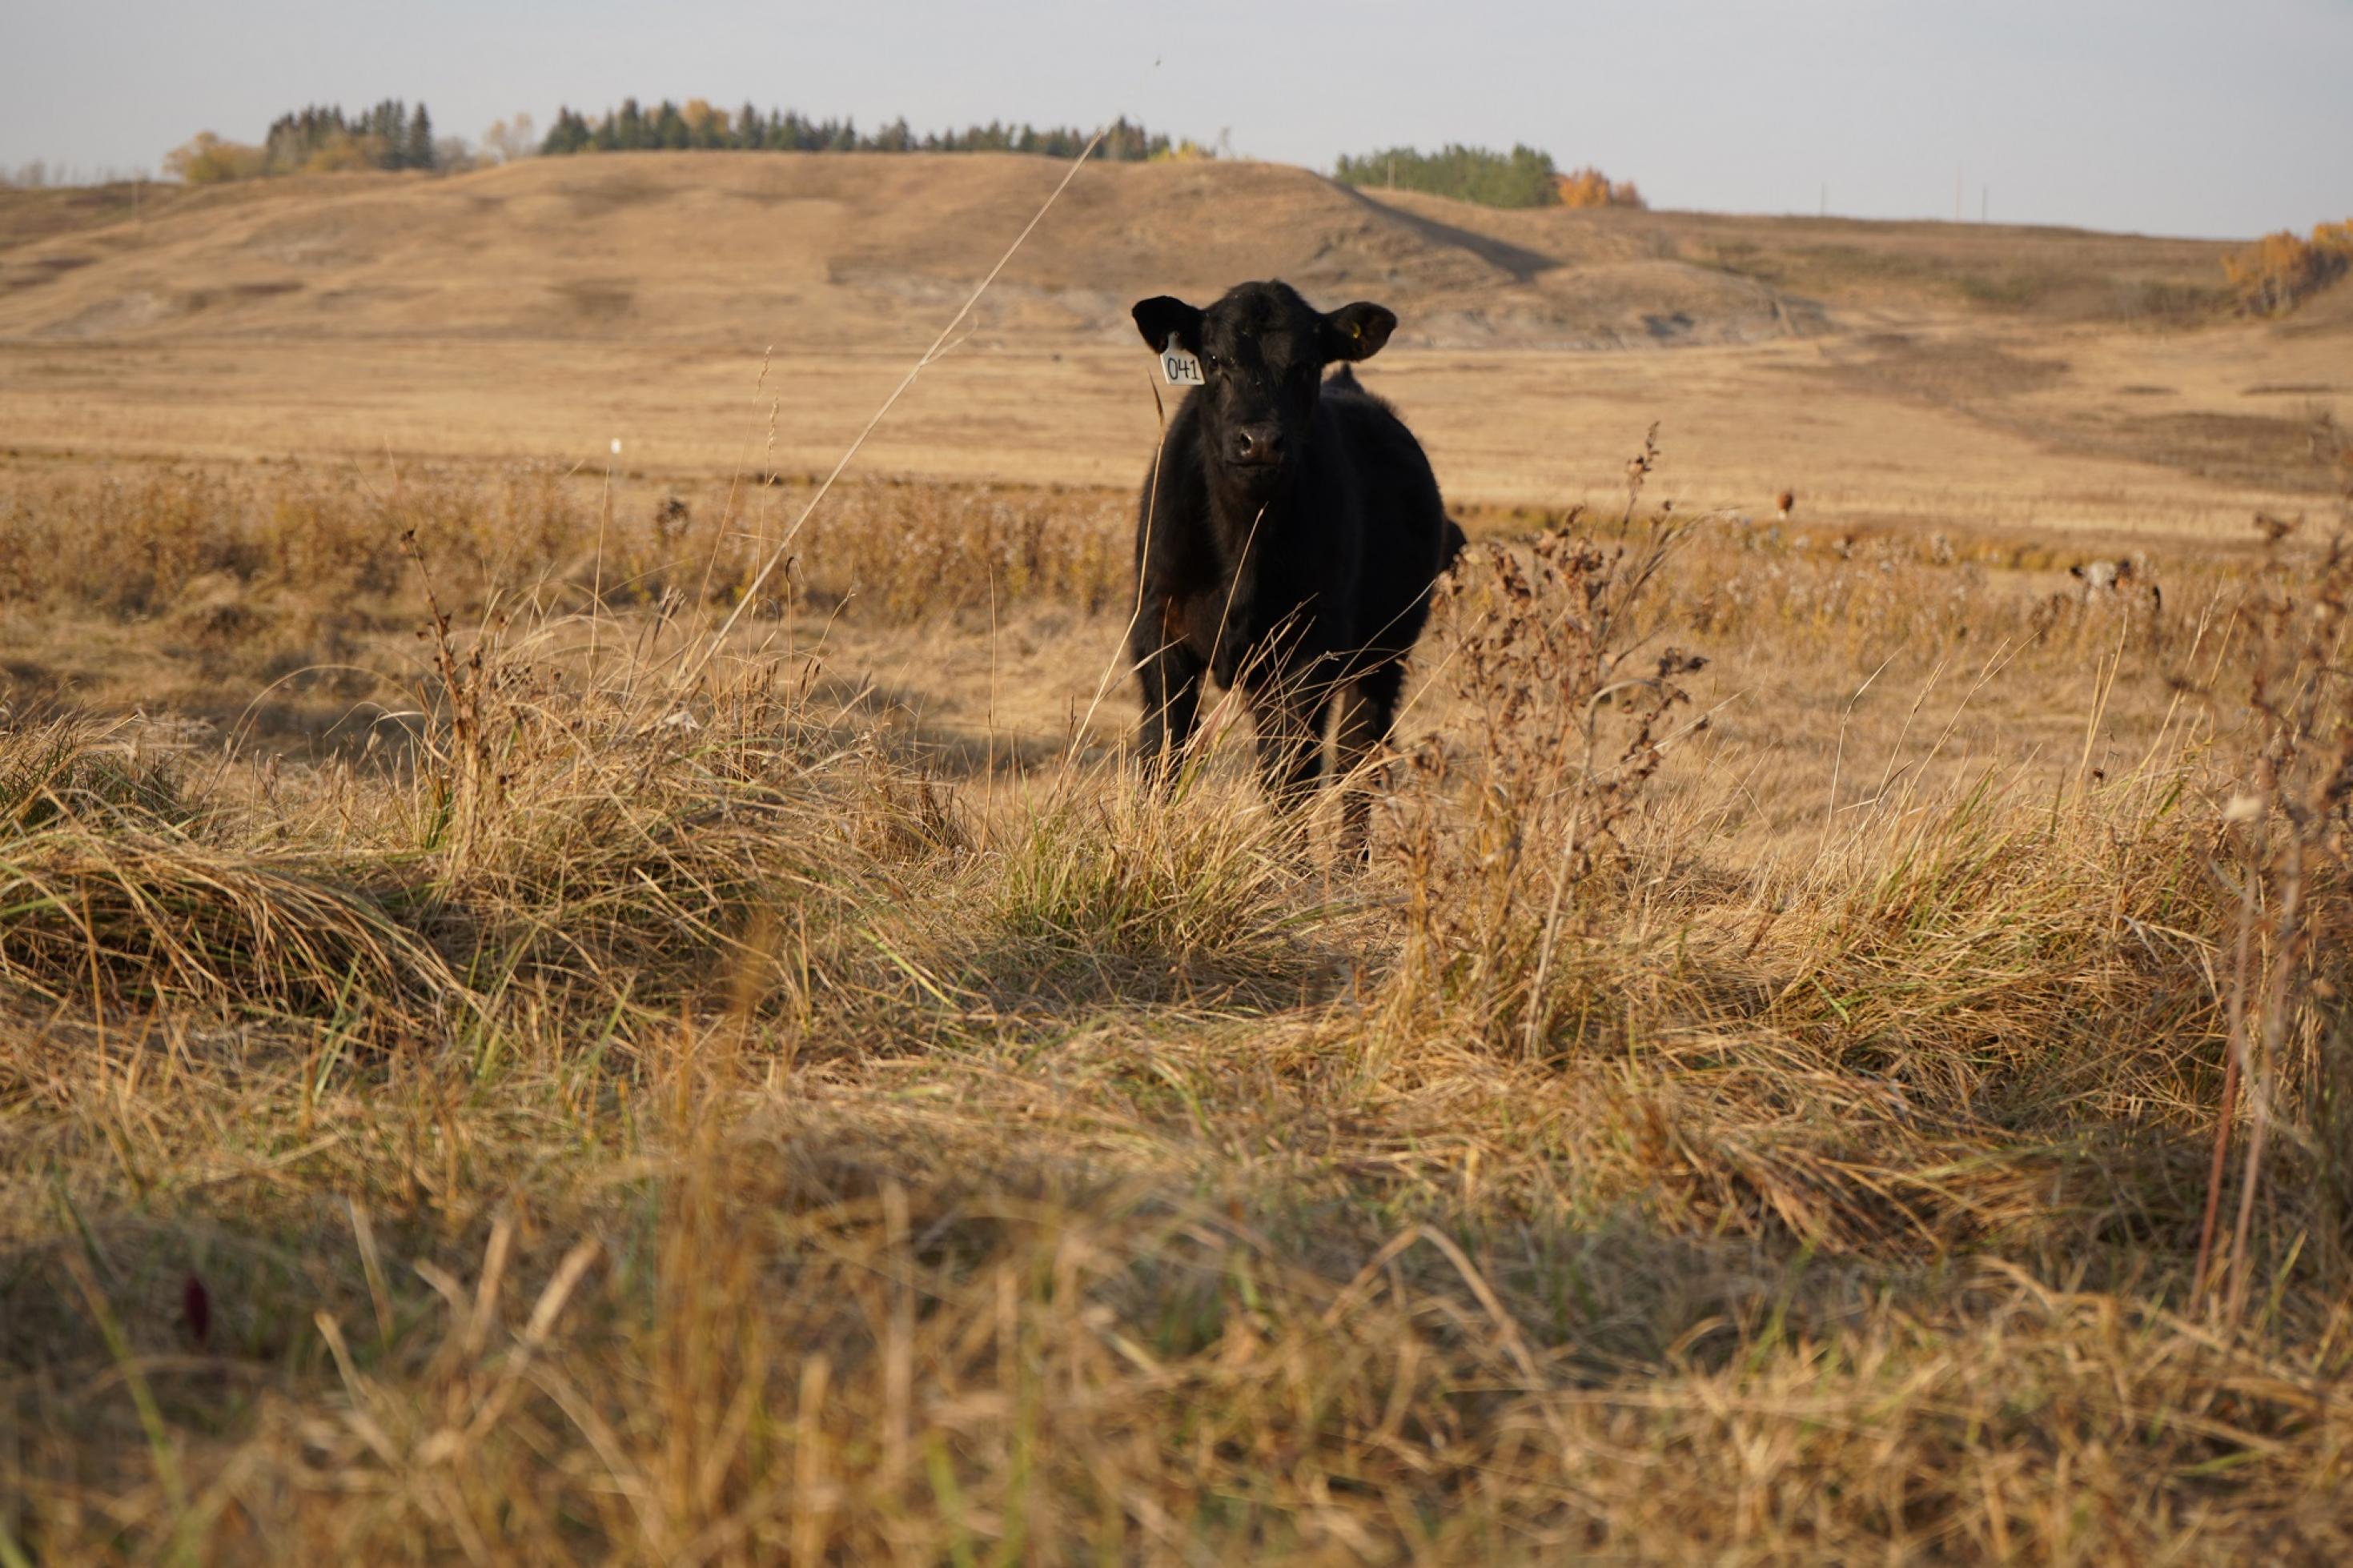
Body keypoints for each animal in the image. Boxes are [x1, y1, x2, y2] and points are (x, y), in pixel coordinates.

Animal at [1129, 276, 1459, 851]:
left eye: (1306, 364)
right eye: (1213, 359)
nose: (1259, 441)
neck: (1243, 541)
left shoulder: (1305, 654)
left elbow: (1290, 779)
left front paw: (1289, 869)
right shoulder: (1159, 635)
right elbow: (1163, 755)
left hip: (1383, 653)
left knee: (1357, 758)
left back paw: (1348, 864)